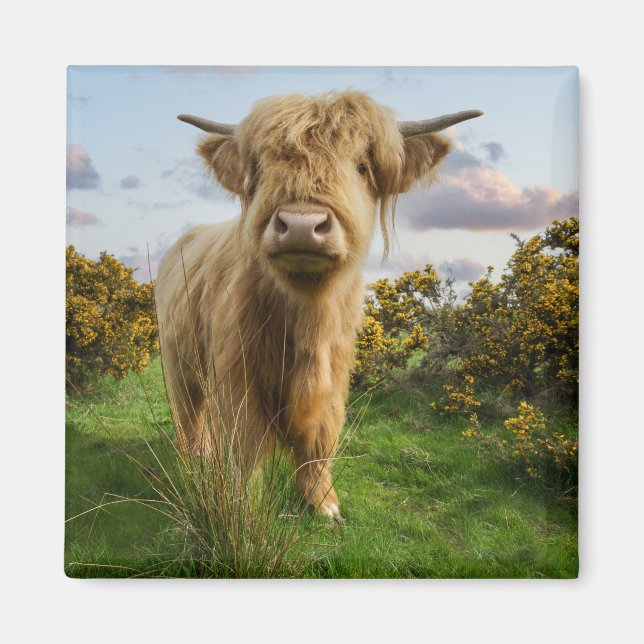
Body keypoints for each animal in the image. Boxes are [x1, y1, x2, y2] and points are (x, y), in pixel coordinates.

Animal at [155, 91, 482, 522]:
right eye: (259, 168)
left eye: (362, 166)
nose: (300, 225)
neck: (308, 317)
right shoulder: (237, 372)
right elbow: (246, 445)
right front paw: (243, 506)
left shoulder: (336, 370)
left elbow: (320, 439)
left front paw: (324, 503)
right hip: (176, 359)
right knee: (189, 411)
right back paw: (196, 456)